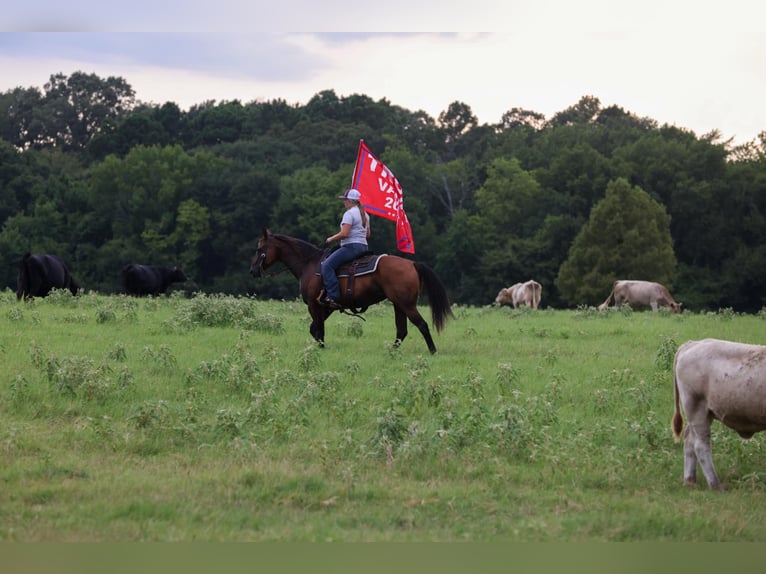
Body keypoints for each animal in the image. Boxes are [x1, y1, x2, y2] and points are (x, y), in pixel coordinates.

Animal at [250, 228, 454, 354]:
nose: (252, 270)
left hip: (406, 304)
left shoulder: (315, 305)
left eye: (260, 248)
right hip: (398, 305)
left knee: (422, 325)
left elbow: (318, 329)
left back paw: (433, 351)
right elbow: (314, 328)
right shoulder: (326, 307)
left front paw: (321, 349)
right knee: (402, 331)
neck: (310, 263)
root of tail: (412, 264)